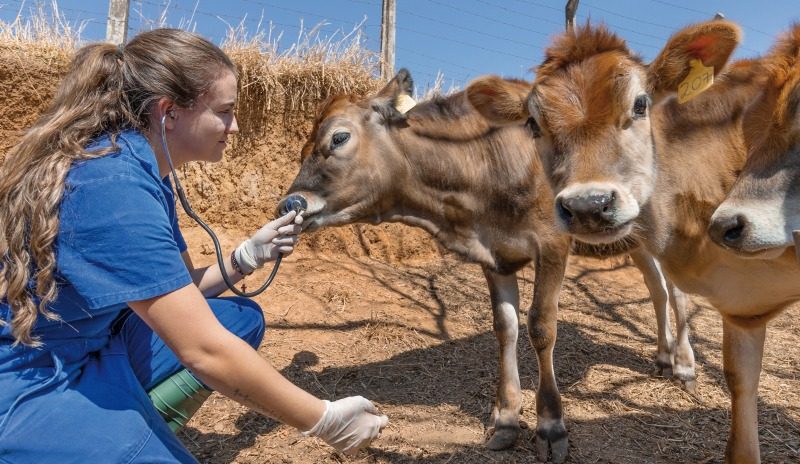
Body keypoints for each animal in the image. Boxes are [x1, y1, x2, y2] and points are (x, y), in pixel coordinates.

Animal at [278, 70, 696, 458]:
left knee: (678, 292)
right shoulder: (495, 255)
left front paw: (550, 425)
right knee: (657, 288)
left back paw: (685, 365)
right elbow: (505, 327)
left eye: (338, 138)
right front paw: (506, 418)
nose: (289, 204)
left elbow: (541, 327)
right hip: (634, 239)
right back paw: (663, 357)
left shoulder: (552, 243)